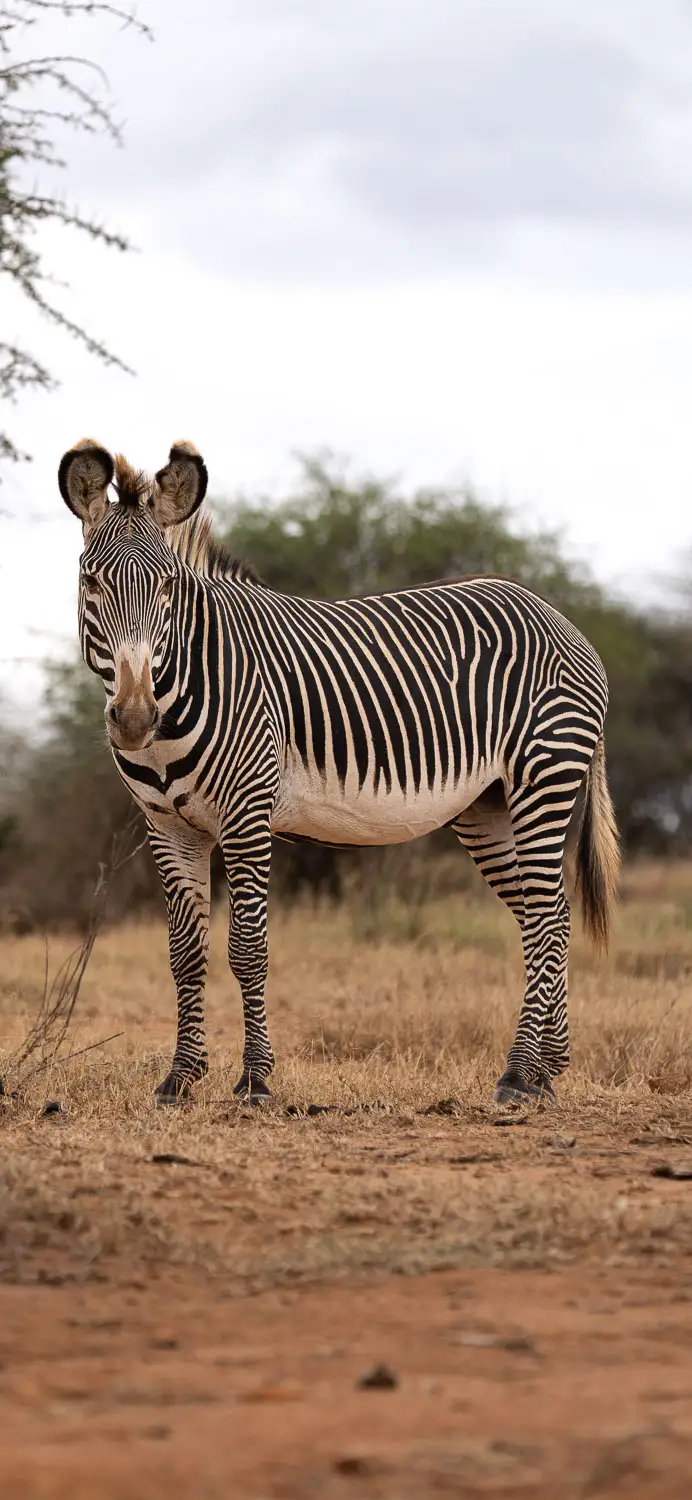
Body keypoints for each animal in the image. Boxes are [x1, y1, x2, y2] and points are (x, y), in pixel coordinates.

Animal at [58, 438, 620, 1108]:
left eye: (169, 586)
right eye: (90, 581)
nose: (135, 718)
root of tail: (557, 616)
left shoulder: (248, 815)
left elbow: (247, 948)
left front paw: (255, 1080)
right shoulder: (168, 827)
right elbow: (185, 954)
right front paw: (180, 1078)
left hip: (545, 775)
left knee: (547, 919)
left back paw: (517, 1074)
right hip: (489, 806)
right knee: (548, 917)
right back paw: (545, 1071)